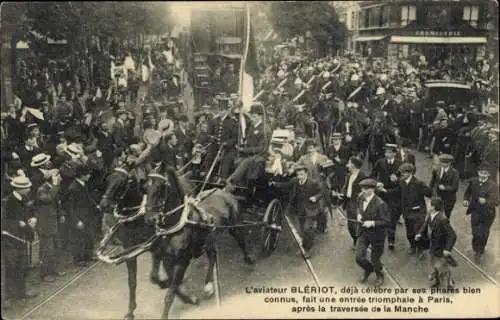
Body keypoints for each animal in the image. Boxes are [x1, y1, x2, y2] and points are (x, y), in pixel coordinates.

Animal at [144, 168, 254, 318]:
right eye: (144, 187)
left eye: (160, 187)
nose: (150, 218)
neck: (175, 227)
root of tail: (225, 190)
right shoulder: (161, 255)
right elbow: (156, 278)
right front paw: (183, 294)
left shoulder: (182, 261)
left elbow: (170, 293)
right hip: (208, 239)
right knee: (212, 255)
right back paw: (208, 285)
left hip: (235, 227)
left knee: (241, 241)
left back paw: (248, 260)